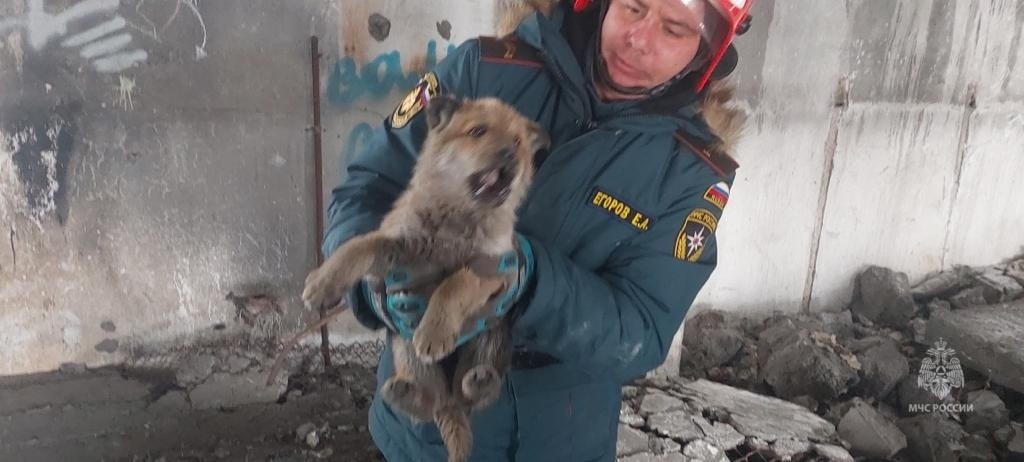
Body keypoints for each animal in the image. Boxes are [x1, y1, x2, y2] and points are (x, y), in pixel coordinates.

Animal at [301, 95, 549, 462]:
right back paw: (404, 392)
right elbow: (360, 245)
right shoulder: (398, 245)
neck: (459, 215)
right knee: (431, 402)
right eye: (478, 131)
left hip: (492, 334)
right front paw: (323, 282)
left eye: (518, 142)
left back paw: (479, 381)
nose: (510, 155)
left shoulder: (495, 268)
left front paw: (435, 330)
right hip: (405, 347)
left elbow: (453, 284)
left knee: (470, 395)